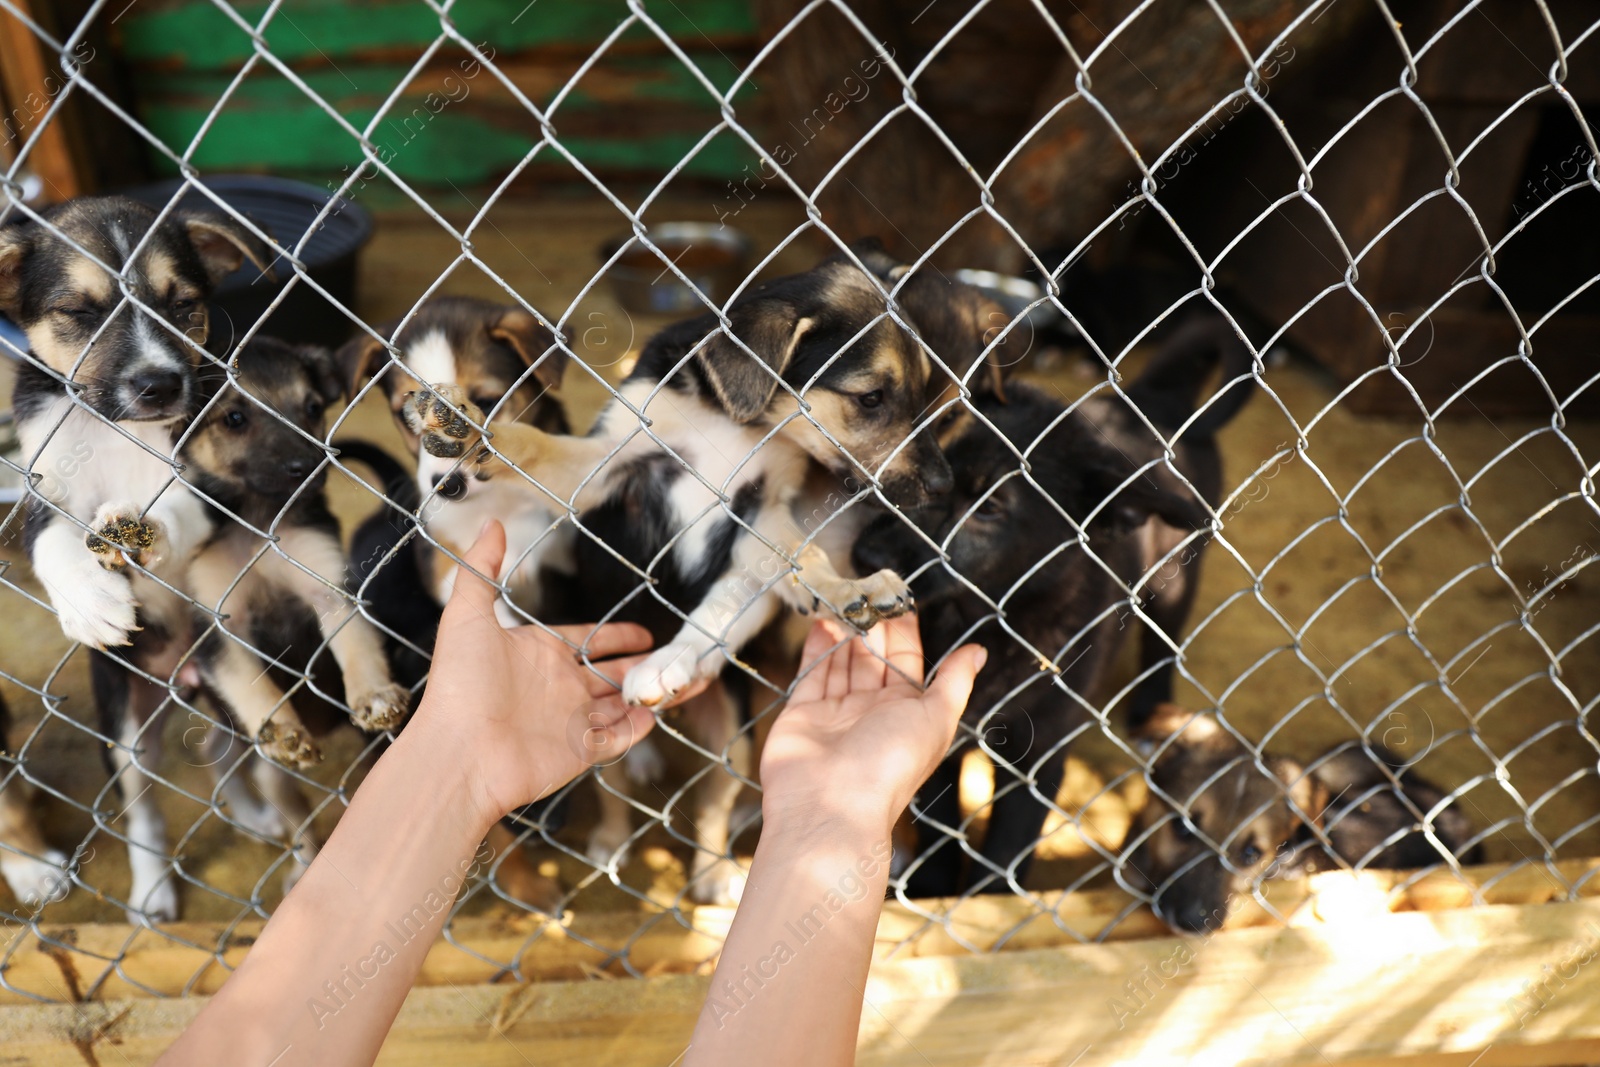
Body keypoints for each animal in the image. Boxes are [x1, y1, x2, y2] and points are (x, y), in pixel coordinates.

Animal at [1, 191, 270, 921]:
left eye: (183, 304)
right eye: (81, 312)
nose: (159, 385)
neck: (114, 430)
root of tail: (184, 678)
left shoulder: (205, 488)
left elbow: (171, 510)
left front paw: (140, 530)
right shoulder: (40, 491)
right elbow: (52, 541)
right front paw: (90, 599)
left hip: (235, 697)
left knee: (226, 758)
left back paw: (254, 814)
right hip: (125, 732)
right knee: (145, 811)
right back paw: (152, 892)